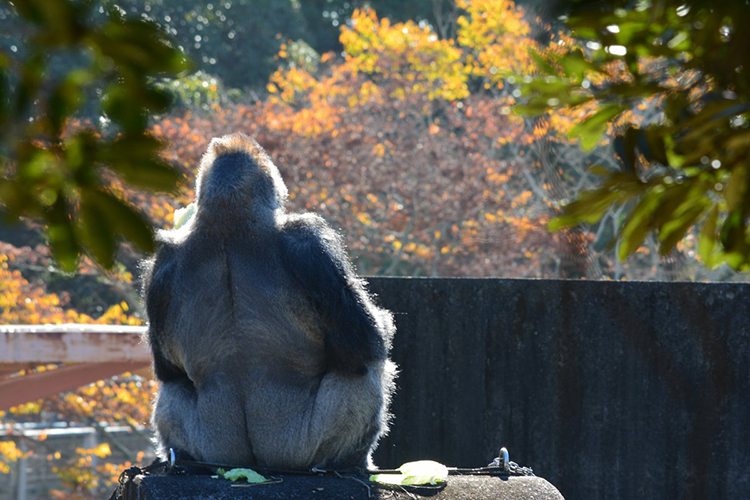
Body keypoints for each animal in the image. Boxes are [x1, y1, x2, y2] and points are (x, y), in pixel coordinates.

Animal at [142, 133, 400, 468]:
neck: (228, 219)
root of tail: (256, 463)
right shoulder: (308, 240)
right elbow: (367, 343)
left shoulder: (162, 262)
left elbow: (166, 367)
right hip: (299, 452)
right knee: (362, 372)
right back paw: (351, 461)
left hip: (214, 450)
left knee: (172, 388)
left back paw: (180, 455)